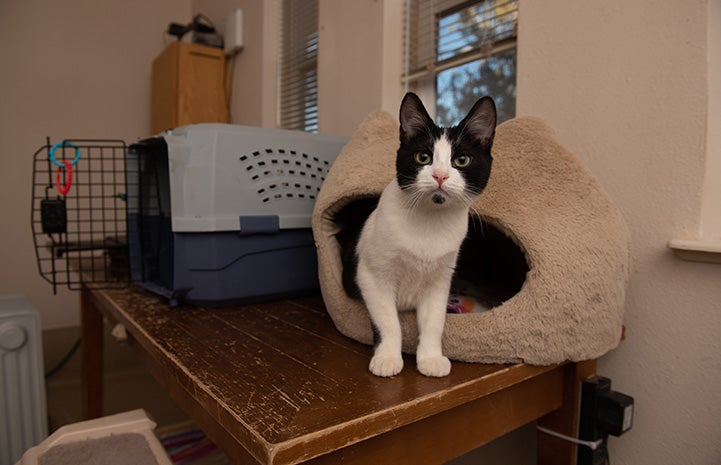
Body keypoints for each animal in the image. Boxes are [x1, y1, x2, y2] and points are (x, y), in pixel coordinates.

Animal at [352, 91, 496, 376]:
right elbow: (387, 320)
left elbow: (434, 322)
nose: (440, 176)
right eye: (423, 157)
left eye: (461, 160)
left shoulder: (440, 280)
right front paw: (387, 357)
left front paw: (430, 358)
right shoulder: (372, 275)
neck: (430, 221)